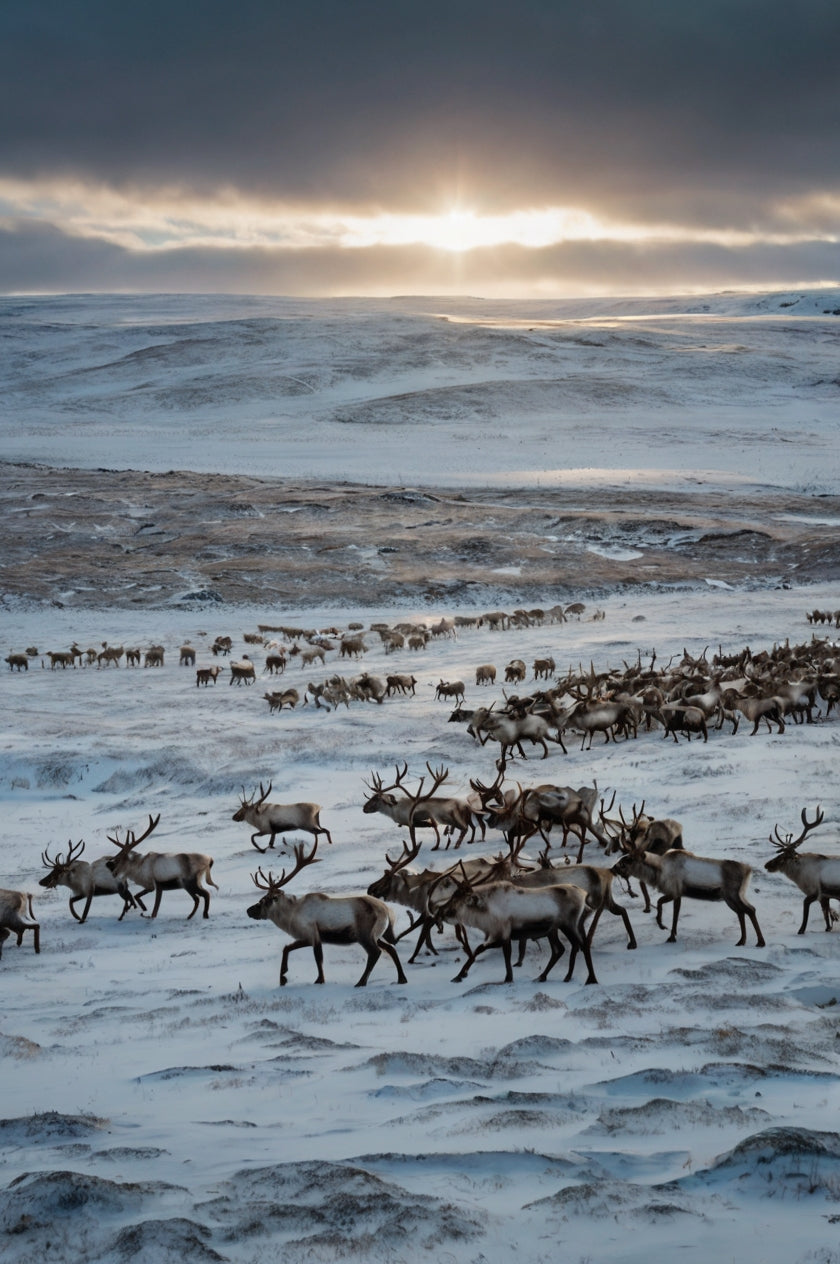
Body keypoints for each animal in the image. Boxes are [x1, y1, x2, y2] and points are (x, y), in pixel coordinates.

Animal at [247, 842, 408, 987]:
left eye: (264, 900)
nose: (249, 910)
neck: (291, 916)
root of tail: (388, 912)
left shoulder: (312, 934)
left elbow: (317, 958)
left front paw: (318, 980)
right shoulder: (309, 937)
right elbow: (288, 948)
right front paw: (283, 979)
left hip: (365, 934)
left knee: (375, 953)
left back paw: (361, 982)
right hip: (377, 935)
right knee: (391, 949)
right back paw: (401, 979)